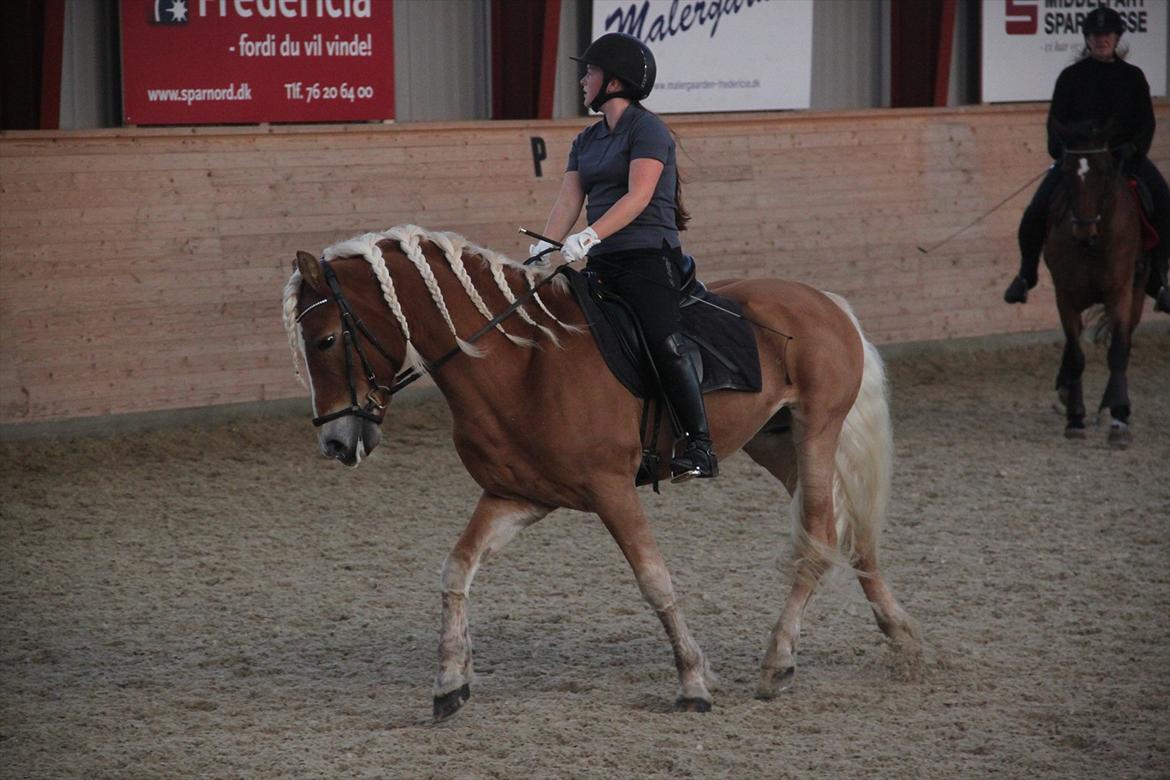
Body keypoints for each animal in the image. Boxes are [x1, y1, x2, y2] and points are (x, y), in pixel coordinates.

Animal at [283, 224, 921, 720]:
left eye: (328, 339)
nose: (336, 442)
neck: (522, 363)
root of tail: (825, 300)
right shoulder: (516, 495)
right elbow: (457, 569)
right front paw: (449, 683)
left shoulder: (612, 491)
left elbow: (655, 581)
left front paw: (693, 683)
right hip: (776, 442)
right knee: (847, 531)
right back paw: (900, 635)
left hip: (817, 430)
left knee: (818, 535)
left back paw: (778, 662)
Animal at [1048, 125, 1146, 449]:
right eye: (1066, 171)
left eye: (1103, 171)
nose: (1083, 232)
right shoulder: (1064, 296)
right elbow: (1076, 354)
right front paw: (1075, 418)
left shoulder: (1120, 293)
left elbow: (1117, 352)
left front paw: (1119, 419)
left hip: (1136, 294)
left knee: (1123, 344)